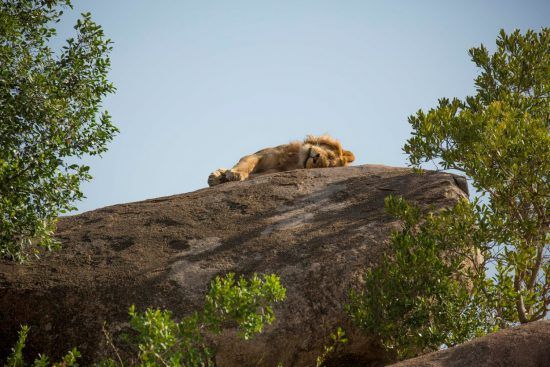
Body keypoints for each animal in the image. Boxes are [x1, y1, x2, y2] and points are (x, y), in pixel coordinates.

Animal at [208, 135, 358, 187]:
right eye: (330, 156)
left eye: (325, 165)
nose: (316, 158)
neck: (293, 160)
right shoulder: (260, 155)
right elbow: (246, 163)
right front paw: (235, 173)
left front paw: (227, 176)